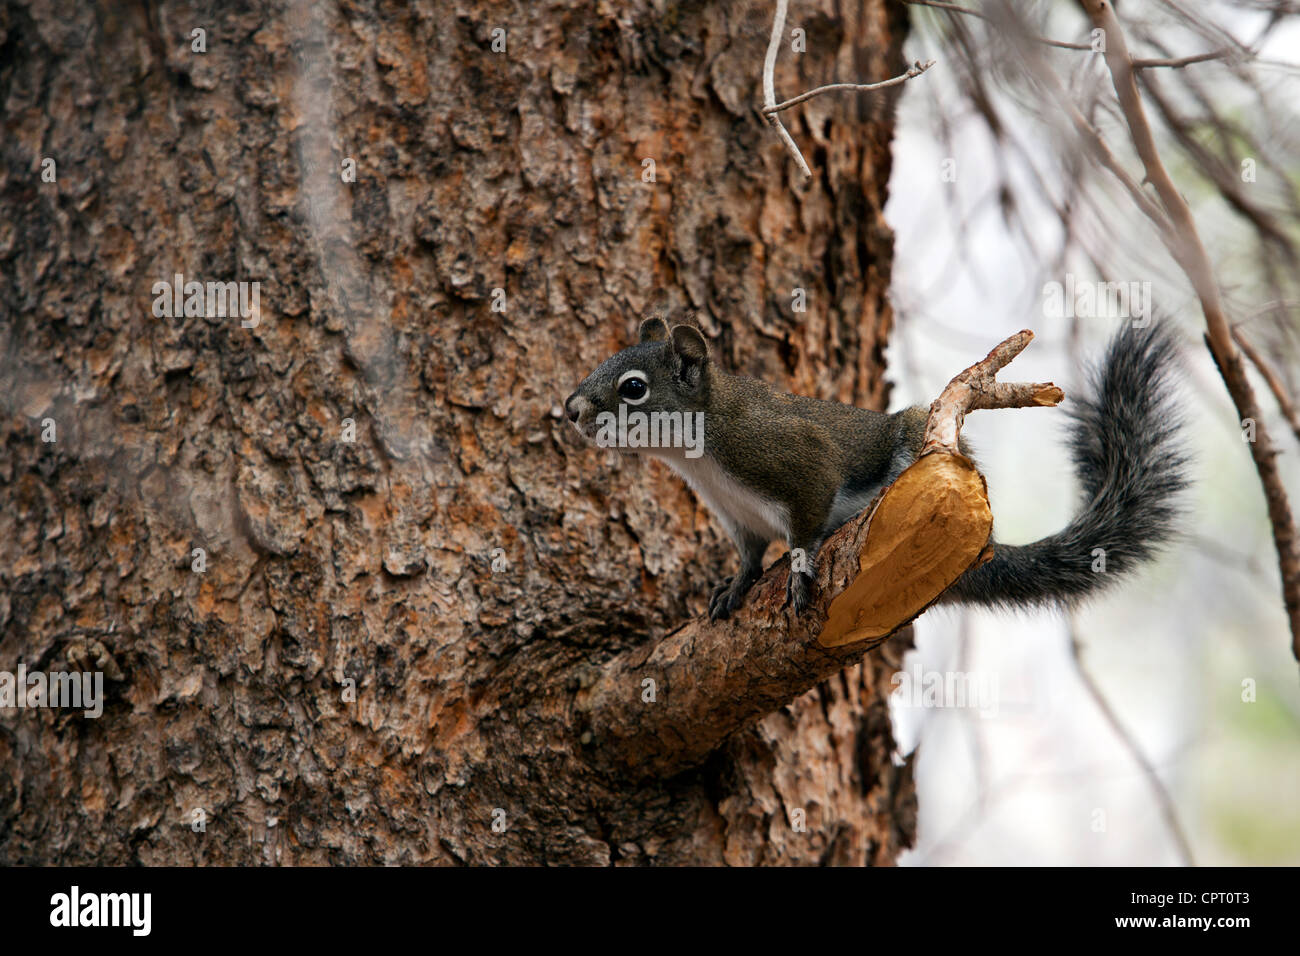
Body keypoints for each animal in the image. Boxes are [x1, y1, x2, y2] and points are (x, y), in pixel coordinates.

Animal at [565, 302, 1186, 622]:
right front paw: (735, 586)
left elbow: (806, 527)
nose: (570, 410)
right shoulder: (736, 515)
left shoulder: (790, 457)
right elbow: (749, 554)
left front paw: (798, 573)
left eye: (634, 387)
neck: (701, 455)